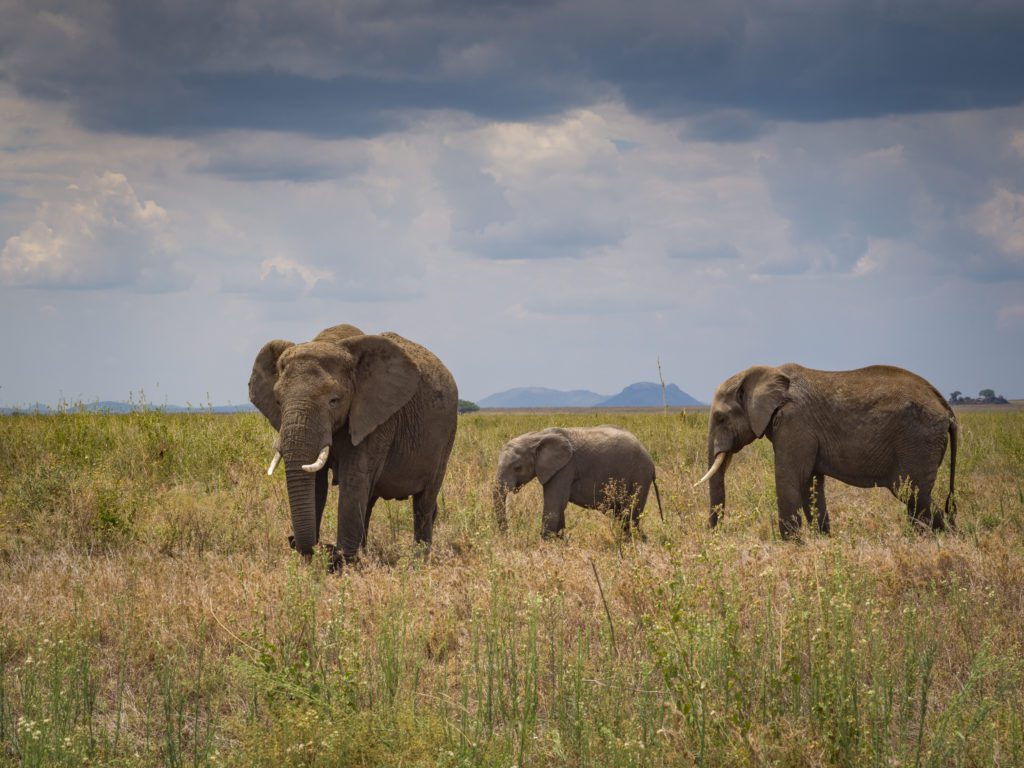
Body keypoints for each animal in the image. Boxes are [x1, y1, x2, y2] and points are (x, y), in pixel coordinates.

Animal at [247, 321, 456, 569]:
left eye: (334, 401)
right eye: (278, 402)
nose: (293, 541)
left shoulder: (377, 418)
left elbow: (353, 478)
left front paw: (342, 564)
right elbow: (318, 484)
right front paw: (314, 565)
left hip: (446, 438)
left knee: (424, 502)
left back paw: (417, 563)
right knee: (370, 501)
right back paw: (363, 555)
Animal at [493, 428, 663, 540]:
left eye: (517, 468)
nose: (508, 537)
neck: (537, 436)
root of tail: (651, 461)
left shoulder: (565, 467)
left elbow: (554, 504)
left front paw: (546, 545)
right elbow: (558, 506)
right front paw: (560, 542)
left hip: (639, 475)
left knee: (631, 514)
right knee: (623, 516)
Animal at [696, 364, 958, 536]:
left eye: (720, 418)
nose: (715, 536)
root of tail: (946, 407)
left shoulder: (795, 422)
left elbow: (789, 478)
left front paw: (792, 545)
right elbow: (810, 484)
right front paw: (821, 540)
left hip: (918, 441)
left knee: (913, 493)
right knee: (916, 499)